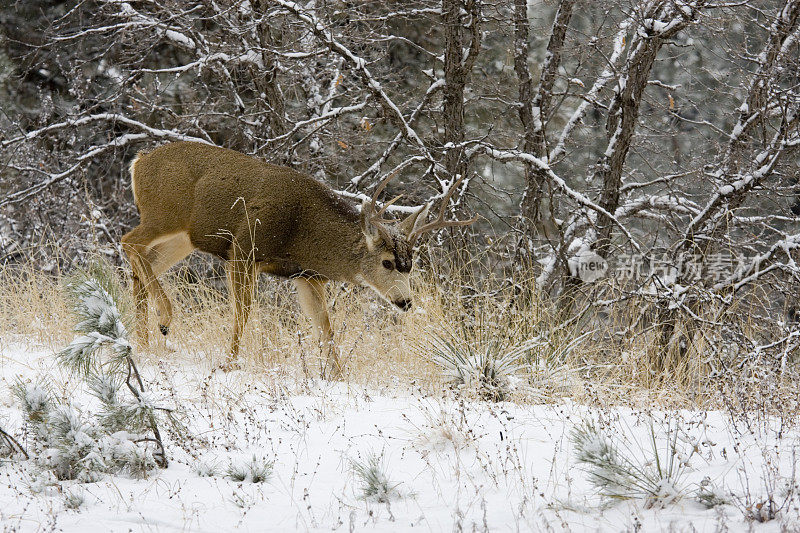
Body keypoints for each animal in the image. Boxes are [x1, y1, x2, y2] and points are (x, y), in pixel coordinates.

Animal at [119, 141, 476, 374]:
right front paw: (229, 363)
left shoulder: (306, 275)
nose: (405, 301)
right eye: (387, 262)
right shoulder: (244, 249)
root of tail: (139, 162)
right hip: (164, 214)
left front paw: (338, 377)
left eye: (410, 264)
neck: (302, 231)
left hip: (184, 237)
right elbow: (243, 312)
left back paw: (144, 342)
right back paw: (164, 320)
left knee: (144, 264)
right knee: (129, 242)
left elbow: (326, 327)